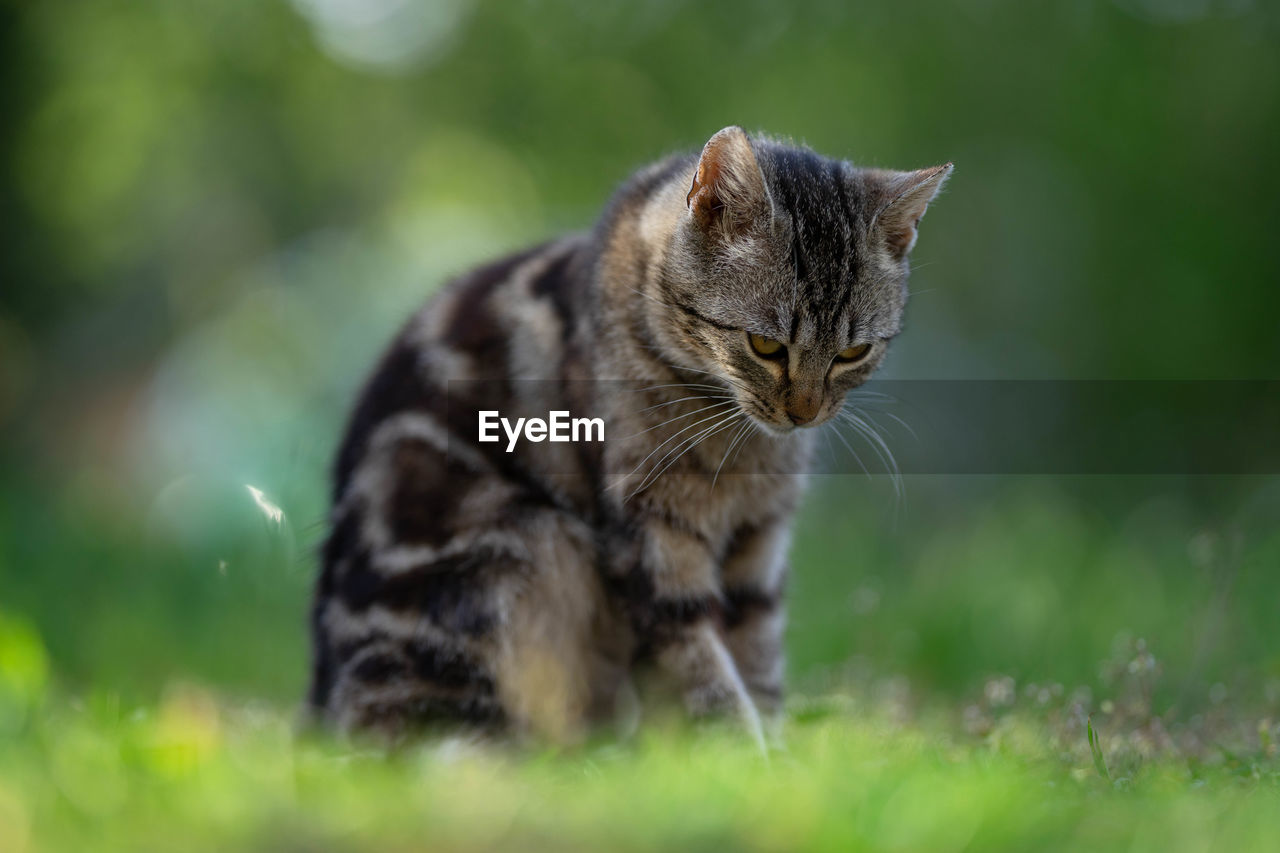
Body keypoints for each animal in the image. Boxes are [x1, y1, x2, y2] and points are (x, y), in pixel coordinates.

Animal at [307, 126, 952, 742]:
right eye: (766, 345)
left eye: (852, 353)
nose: (805, 412)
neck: (738, 446)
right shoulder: (650, 544)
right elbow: (705, 679)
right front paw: (742, 760)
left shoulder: (759, 548)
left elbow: (759, 666)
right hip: (529, 545)